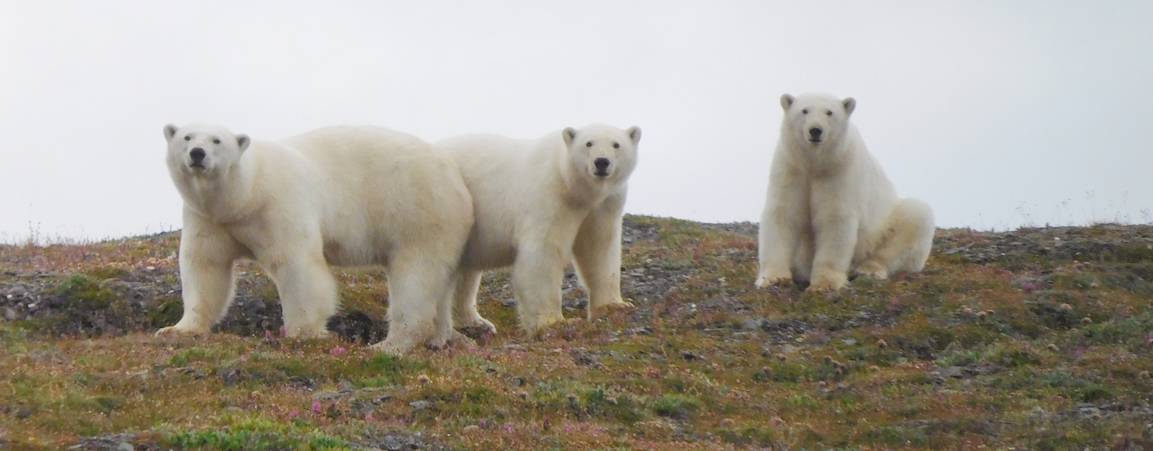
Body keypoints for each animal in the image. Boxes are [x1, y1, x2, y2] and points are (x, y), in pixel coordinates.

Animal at [157, 123, 475, 356]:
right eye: (186, 136)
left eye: (217, 140)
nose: (197, 153)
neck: (246, 195)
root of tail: (456, 175)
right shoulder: (210, 219)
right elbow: (205, 266)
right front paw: (177, 329)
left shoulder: (279, 203)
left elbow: (297, 264)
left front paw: (302, 332)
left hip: (419, 212)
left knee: (416, 276)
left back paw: (392, 343)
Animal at [435, 124, 641, 335]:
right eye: (588, 143)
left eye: (616, 144)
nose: (601, 162)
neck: (574, 187)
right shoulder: (550, 195)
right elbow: (544, 252)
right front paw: (554, 322)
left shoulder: (604, 204)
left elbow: (599, 247)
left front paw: (614, 306)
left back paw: (476, 323)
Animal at [756, 94, 935, 292]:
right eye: (804, 110)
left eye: (829, 112)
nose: (815, 130)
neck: (814, 162)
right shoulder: (790, 168)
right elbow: (784, 214)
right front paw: (773, 278)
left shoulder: (839, 171)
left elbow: (834, 218)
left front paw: (825, 284)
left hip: (882, 229)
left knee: (915, 216)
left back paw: (869, 269)